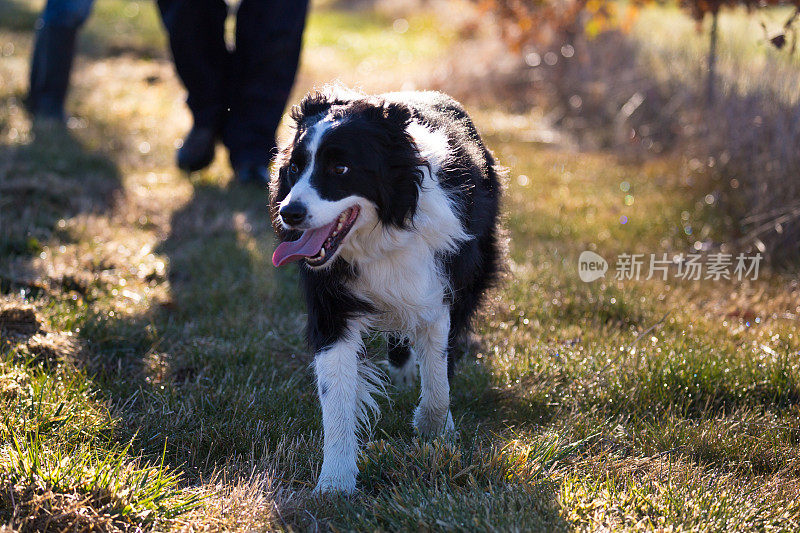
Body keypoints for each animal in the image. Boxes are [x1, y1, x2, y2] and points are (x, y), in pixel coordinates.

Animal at [272, 86, 504, 490]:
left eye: (340, 169)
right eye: (295, 168)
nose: (289, 213)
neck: (383, 231)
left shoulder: (435, 285)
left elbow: (438, 374)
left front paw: (434, 429)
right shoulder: (330, 302)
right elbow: (335, 390)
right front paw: (335, 482)